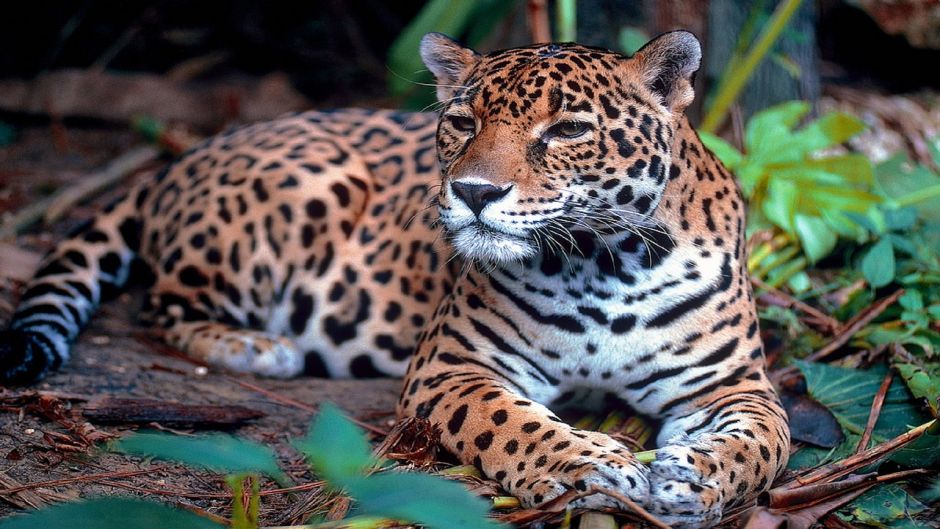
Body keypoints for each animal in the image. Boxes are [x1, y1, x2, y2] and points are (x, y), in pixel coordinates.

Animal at [0, 31, 789, 528]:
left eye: (567, 130)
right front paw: (587, 465)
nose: (473, 191)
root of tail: (179, 158)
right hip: (309, 185)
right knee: (162, 302)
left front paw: (693, 477)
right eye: (462, 121)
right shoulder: (453, 367)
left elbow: (762, 443)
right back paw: (259, 347)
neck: (601, 263)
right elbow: (512, 423)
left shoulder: (733, 386)